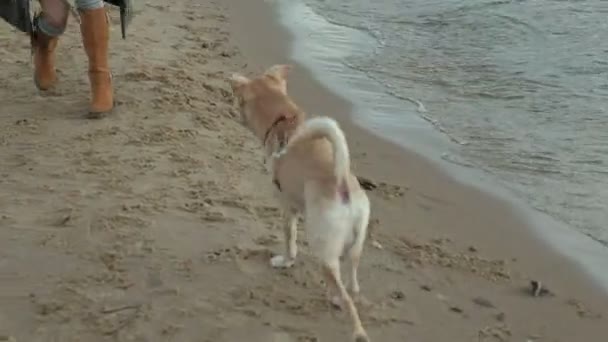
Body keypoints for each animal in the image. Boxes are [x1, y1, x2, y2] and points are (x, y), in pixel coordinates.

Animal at [228, 65, 370, 342]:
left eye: (240, 102)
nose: (234, 115)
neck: (283, 120)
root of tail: (342, 185)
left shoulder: (287, 206)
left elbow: (289, 239)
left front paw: (286, 261)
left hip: (323, 247)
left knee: (346, 298)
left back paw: (355, 329)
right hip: (355, 246)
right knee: (353, 283)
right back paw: (344, 294)